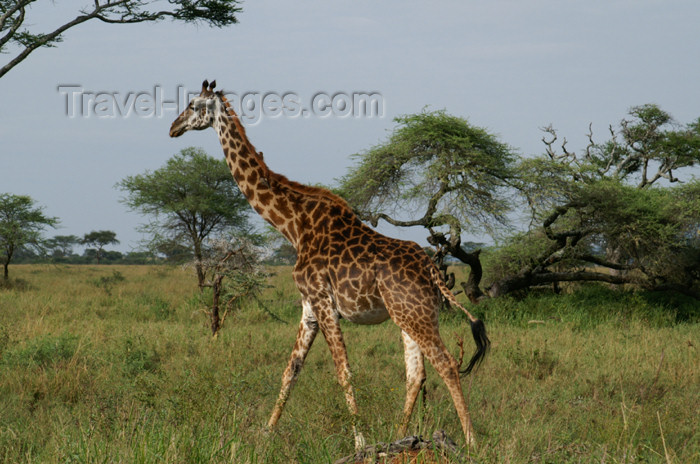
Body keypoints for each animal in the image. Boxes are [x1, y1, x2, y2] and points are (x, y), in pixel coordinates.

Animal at [170, 80, 490, 450]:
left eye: (193, 105)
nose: (173, 128)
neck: (293, 225)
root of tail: (432, 270)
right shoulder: (309, 306)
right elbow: (291, 370)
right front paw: (266, 434)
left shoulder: (324, 303)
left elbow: (343, 371)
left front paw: (360, 442)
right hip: (411, 314)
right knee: (416, 373)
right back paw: (399, 437)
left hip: (414, 314)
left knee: (446, 363)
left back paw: (470, 442)